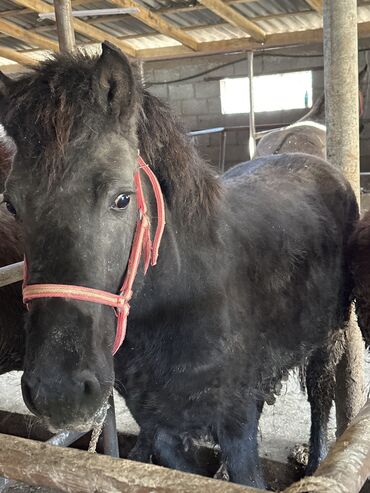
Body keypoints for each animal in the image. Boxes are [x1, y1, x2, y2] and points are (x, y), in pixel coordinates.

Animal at [0, 44, 362, 486]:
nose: (59, 390)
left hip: (329, 341)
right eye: (11, 204)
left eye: (122, 198)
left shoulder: (238, 427)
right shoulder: (162, 427)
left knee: (320, 399)